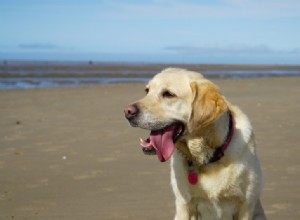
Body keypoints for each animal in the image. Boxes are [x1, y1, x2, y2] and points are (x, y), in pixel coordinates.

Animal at [124, 68, 268, 219]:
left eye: (168, 94)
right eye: (147, 91)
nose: (127, 111)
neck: (208, 157)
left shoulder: (245, 206)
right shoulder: (184, 205)